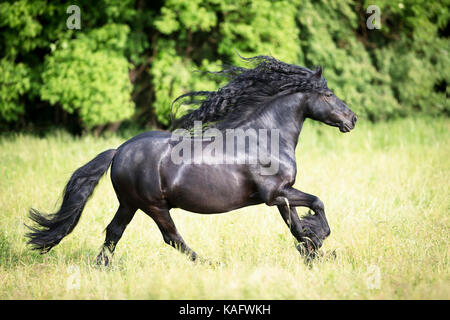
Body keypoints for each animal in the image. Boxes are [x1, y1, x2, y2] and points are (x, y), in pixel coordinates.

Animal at [26, 55, 358, 264]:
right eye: (328, 94)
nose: (352, 119)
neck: (265, 137)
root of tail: (119, 150)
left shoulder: (279, 196)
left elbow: (296, 223)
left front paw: (313, 251)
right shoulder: (275, 194)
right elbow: (316, 205)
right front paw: (318, 242)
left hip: (129, 203)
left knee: (114, 232)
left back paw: (101, 266)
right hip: (154, 205)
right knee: (171, 237)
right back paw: (209, 263)